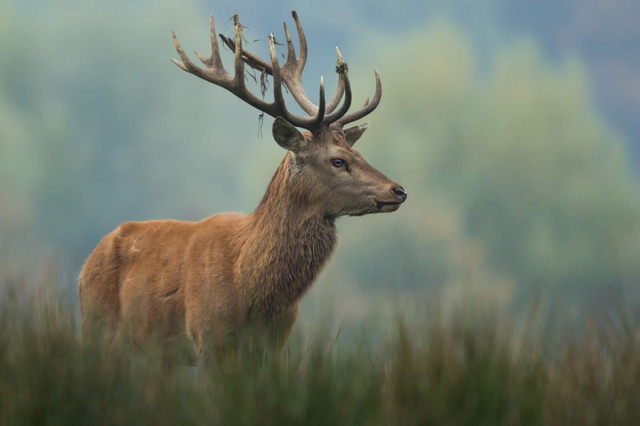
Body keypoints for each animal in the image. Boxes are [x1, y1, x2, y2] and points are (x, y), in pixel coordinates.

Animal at [78, 11, 407, 370]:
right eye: (338, 160)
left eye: (358, 153)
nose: (398, 190)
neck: (250, 291)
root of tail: (84, 268)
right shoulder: (207, 337)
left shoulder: (276, 343)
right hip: (96, 326)